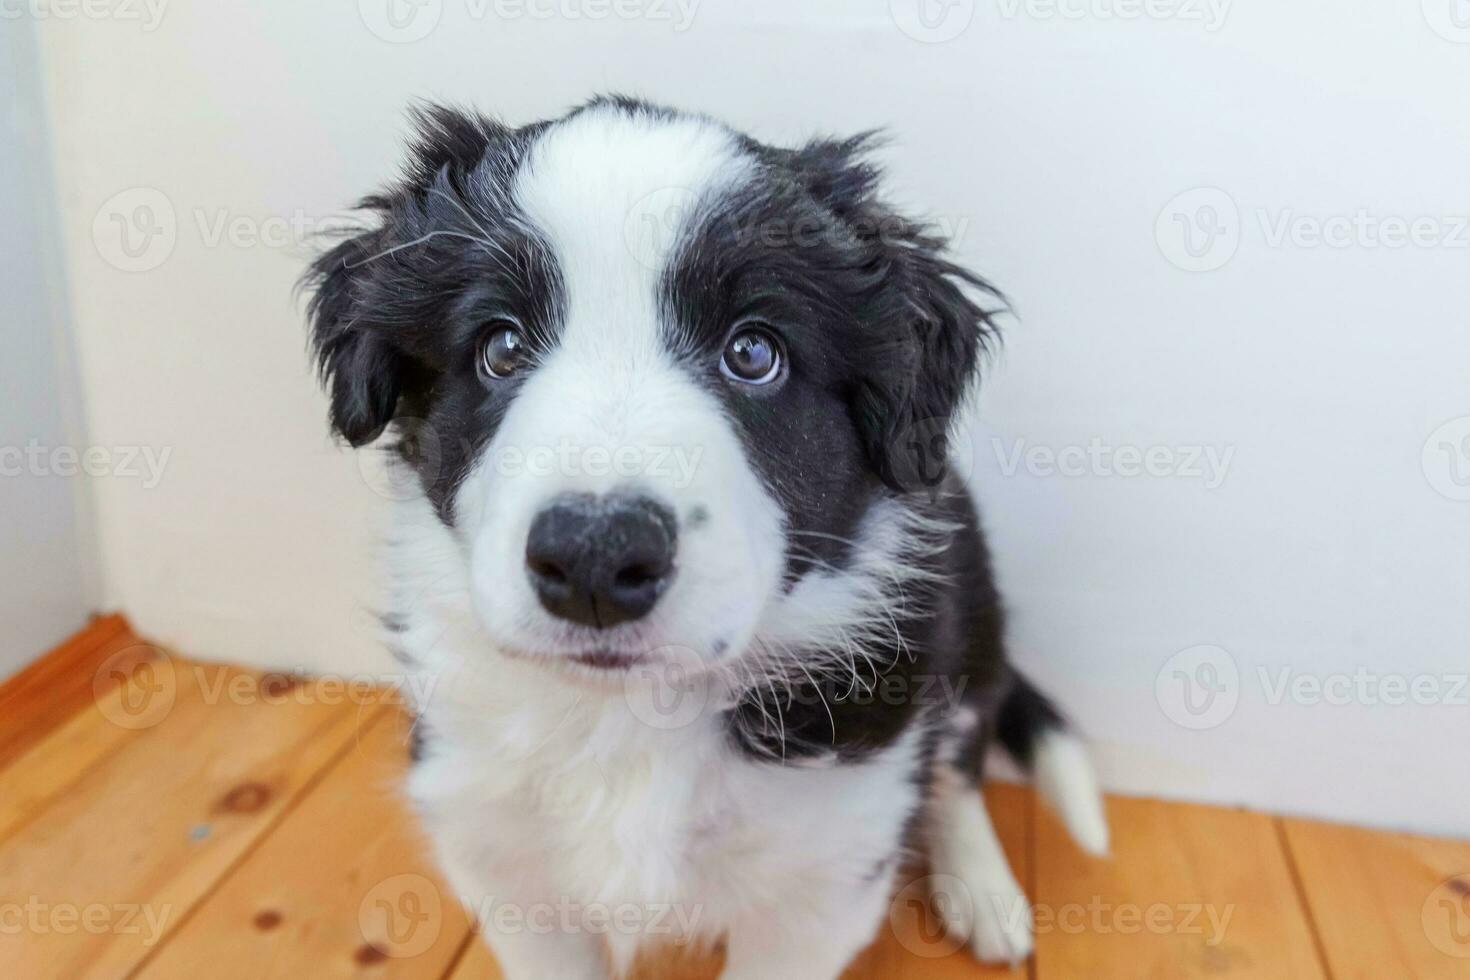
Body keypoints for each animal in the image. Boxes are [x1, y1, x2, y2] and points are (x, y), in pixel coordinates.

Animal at [304, 97, 1105, 980]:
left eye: (753, 353)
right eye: (501, 347)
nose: (594, 557)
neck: (631, 719)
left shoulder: (822, 879)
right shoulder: (498, 853)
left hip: (969, 618)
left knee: (960, 764)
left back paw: (985, 893)